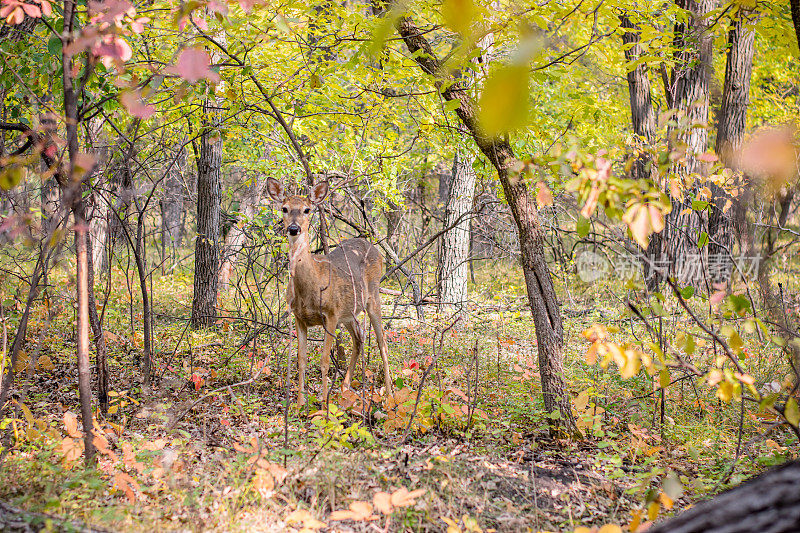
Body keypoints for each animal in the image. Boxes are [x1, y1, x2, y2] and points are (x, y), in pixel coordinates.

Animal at [268, 177, 394, 406]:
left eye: (307, 209)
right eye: (284, 208)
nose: (293, 228)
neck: (311, 286)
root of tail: (373, 246)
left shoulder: (331, 313)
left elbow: (325, 360)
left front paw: (324, 403)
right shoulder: (300, 317)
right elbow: (301, 360)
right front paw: (300, 404)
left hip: (372, 297)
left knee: (382, 343)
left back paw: (389, 395)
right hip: (349, 312)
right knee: (359, 339)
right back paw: (344, 387)